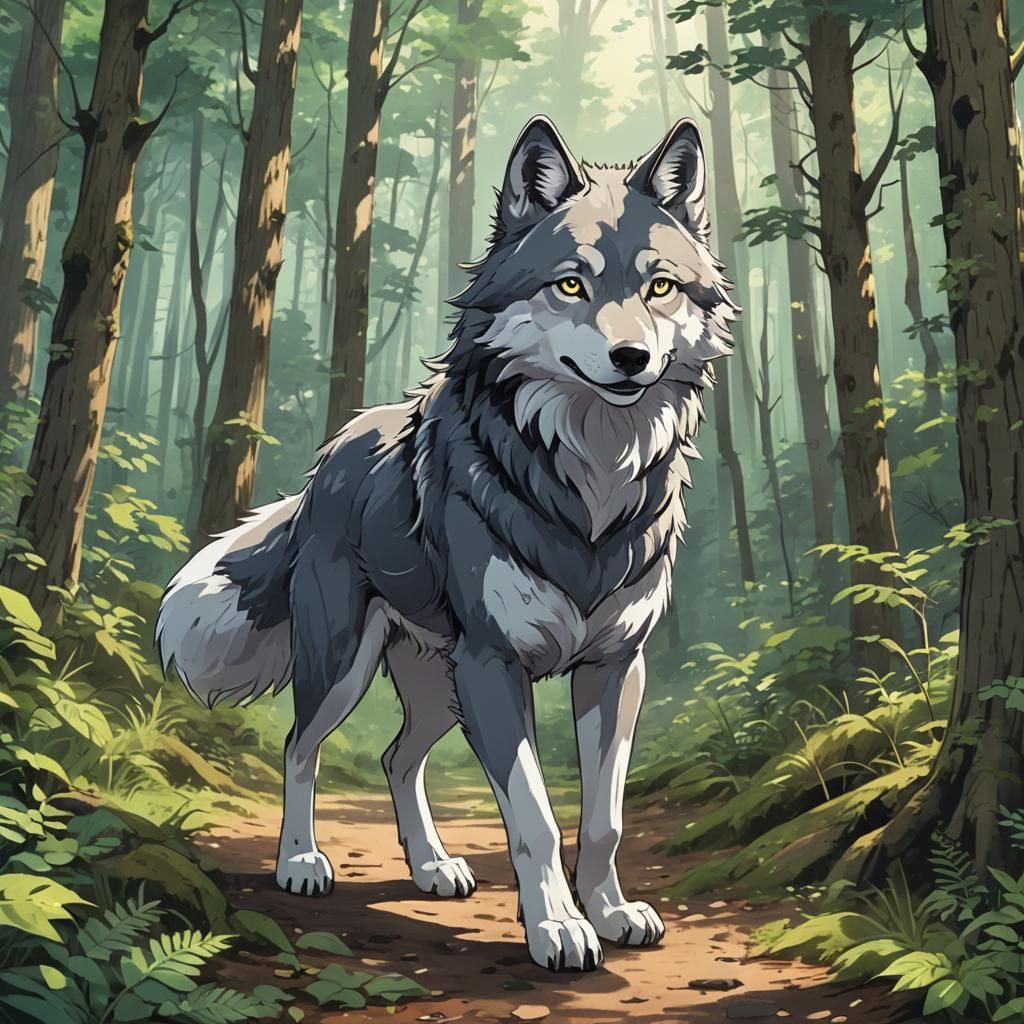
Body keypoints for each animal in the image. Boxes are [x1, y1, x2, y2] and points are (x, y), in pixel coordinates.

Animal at [158, 115, 736, 972]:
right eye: (571, 285)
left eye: (659, 287)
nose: (631, 358)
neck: (588, 485)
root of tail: (327, 460)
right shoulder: (496, 665)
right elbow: (534, 816)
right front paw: (558, 929)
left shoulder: (614, 668)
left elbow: (603, 818)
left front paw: (608, 911)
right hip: (349, 668)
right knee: (299, 747)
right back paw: (300, 863)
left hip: (437, 684)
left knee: (398, 758)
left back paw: (430, 867)